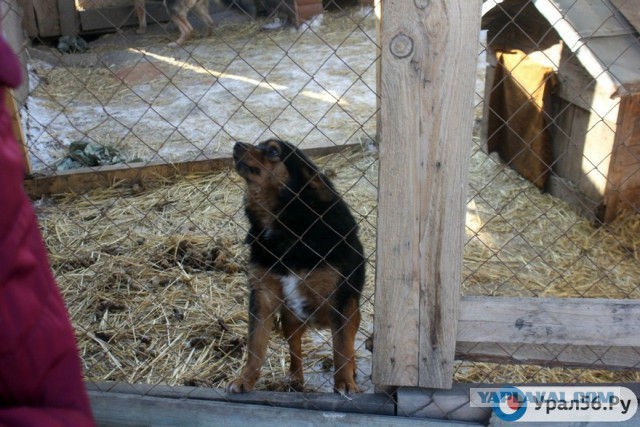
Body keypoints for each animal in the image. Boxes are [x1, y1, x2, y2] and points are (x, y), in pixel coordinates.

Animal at [226, 140, 364, 394]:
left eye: (273, 150)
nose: (237, 144)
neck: (286, 225)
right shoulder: (263, 295)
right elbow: (255, 346)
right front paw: (245, 379)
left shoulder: (340, 299)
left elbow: (341, 347)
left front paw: (344, 382)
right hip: (290, 319)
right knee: (295, 349)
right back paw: (295, 378)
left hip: (351, 312)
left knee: (348, 345)